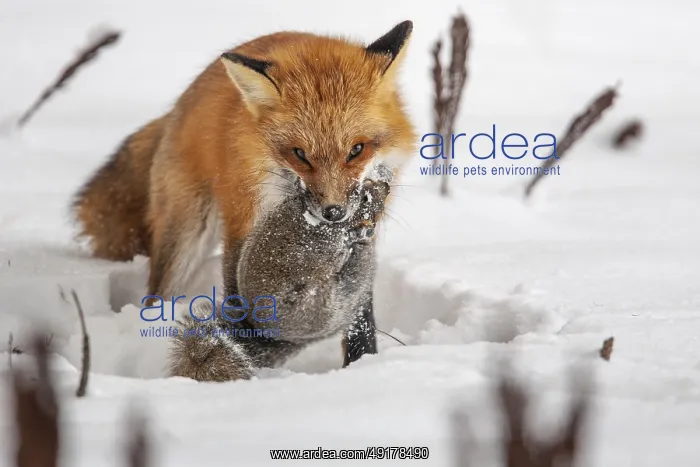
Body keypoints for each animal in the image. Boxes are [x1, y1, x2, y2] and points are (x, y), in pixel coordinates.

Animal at [169, 167, 391, 382]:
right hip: (319, 307)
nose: (386, 186)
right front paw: (358, 233)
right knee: (354, 275)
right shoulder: (318, 248)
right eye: (364, 198)